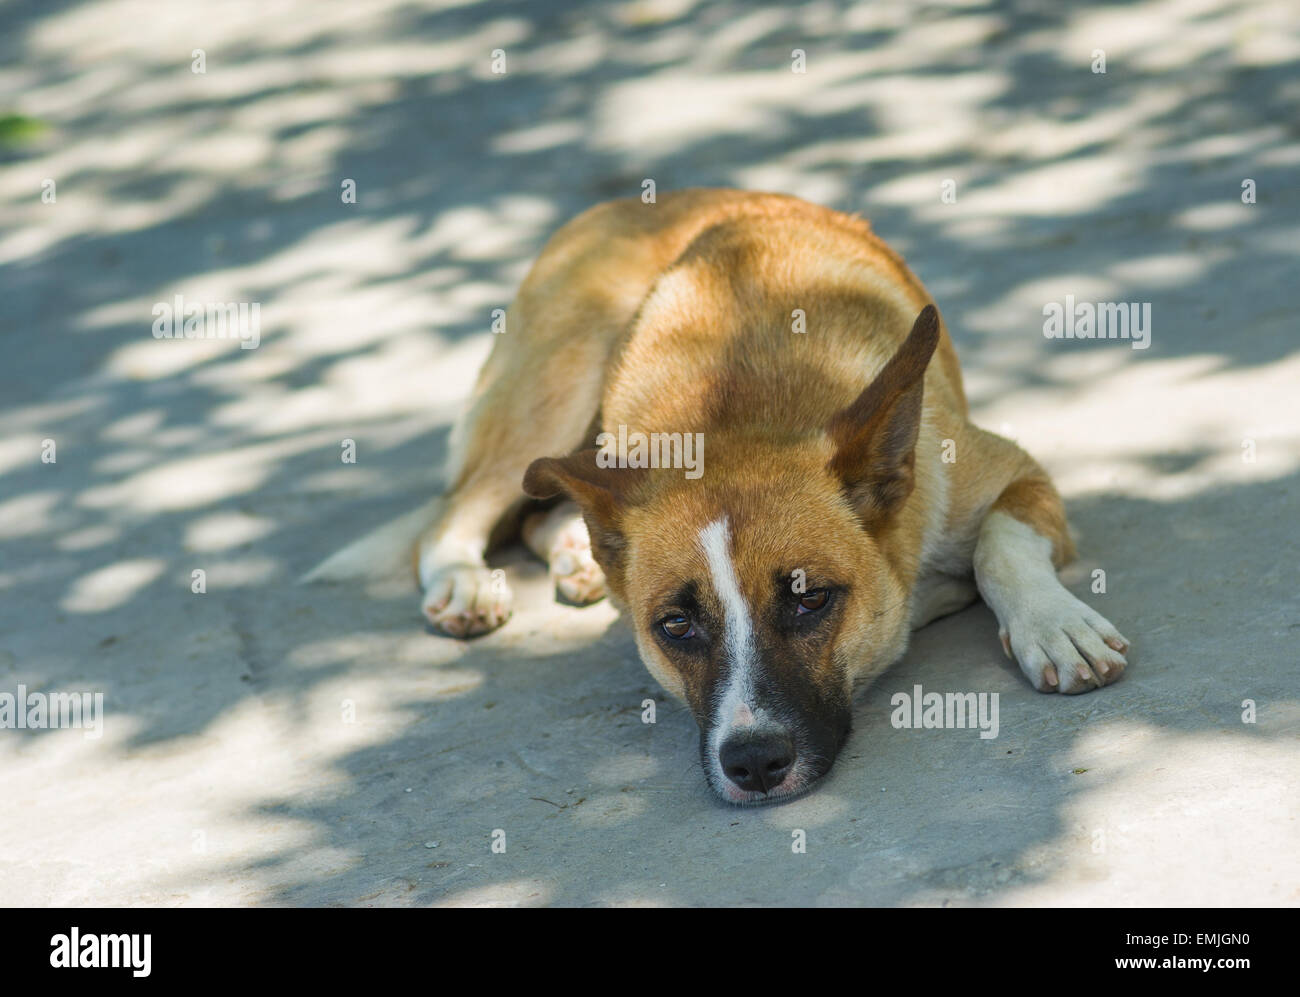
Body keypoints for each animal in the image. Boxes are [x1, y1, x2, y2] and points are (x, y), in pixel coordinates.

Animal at [403, 191, 1128, 805]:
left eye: (812, 600)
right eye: (676, 625)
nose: (753, 762)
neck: (739, 417)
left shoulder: (1014, 471)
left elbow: (998, 543)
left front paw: (1052, 625)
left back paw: (574, 557)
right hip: (560, 386)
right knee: (456, 510)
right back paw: (466, 580)